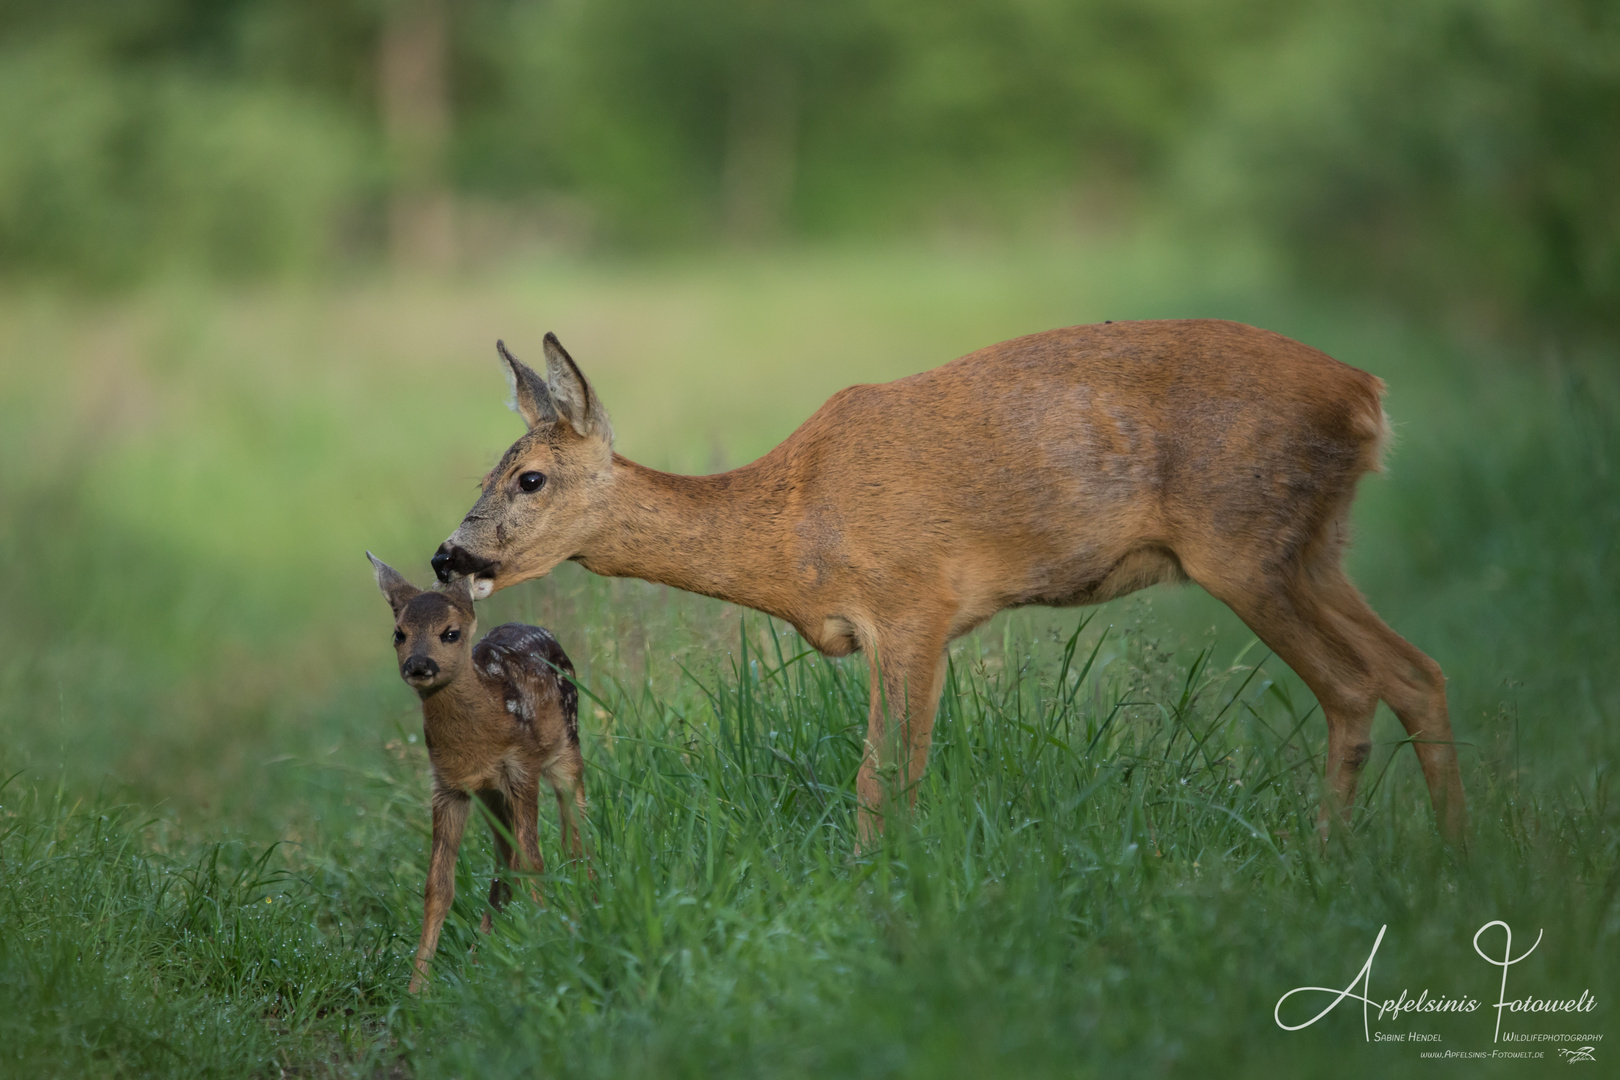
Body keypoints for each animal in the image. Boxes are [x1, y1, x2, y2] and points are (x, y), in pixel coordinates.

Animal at [369, 553, 589, 990]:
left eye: (450, 633)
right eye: (399, 634)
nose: (419, 664)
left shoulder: (522, 769)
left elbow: (534, 861)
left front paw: (546, 940)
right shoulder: (448, 786)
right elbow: (438, 886)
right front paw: (417, 988)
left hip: (567, 750)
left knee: (574, 833)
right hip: (491, 795)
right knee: (506, 859)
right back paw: (478, 953)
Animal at [430, 320, 1470, 841]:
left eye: (530, 477)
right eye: (488, 469)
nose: (450, 555)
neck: (792, 526)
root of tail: (1367, 396)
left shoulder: (914, 604)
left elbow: (886, 772)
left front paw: (877, 894)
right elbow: (889, 770)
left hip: (1245, 544)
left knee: (1355, 686)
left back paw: (1332, 858)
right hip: (1313, 548)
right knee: (1417, 672)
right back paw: (1447, 864)